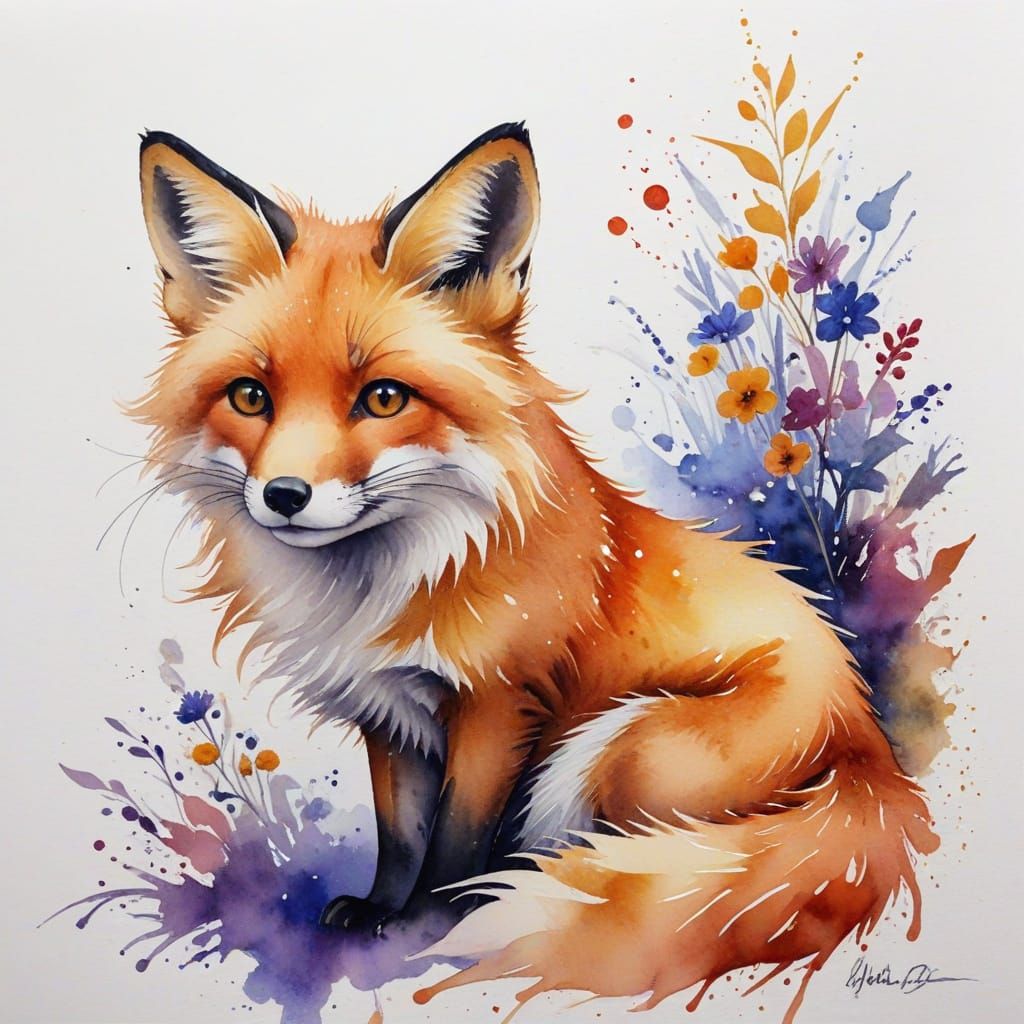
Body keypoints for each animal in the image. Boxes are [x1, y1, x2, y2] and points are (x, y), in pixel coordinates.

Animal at [133, 122, 938, 1019]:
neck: (391, 580)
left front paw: (423, 931)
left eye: (384, 399)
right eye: (249, 397)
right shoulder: (390, 714)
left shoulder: (499, 704)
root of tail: (869, 752)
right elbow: (400, 833)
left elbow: (454, 842)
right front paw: (379, 913)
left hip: (616, 746)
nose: (284, 496)